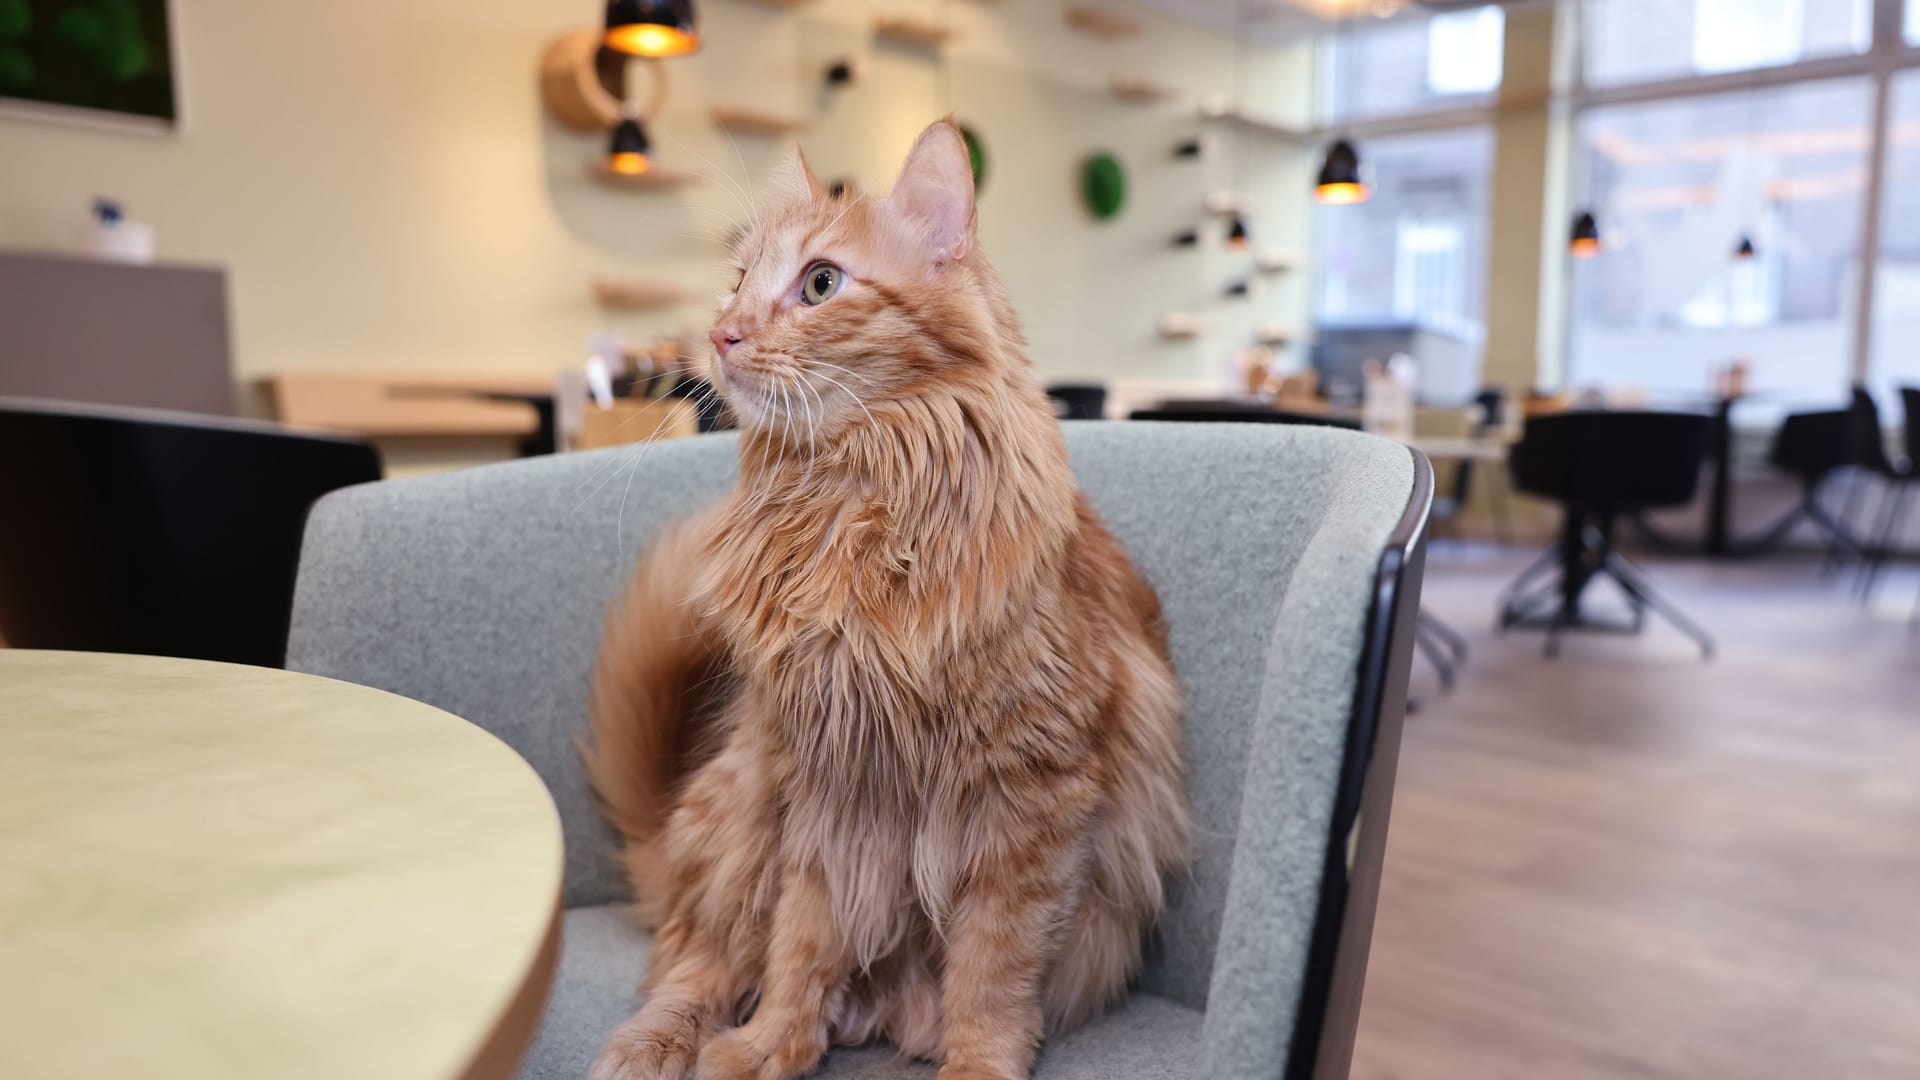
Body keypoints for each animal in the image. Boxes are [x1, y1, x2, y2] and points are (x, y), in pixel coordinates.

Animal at [583, 117, 1182, 1076]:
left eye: (821, 283)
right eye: (739, 282)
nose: (722, 333)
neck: (850, 505)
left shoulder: (1032, 799)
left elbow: (990, 973)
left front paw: (976, 1065)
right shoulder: (825, 792)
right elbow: (802, 944)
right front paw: (770, 1046)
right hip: (740, 814)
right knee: (694, 965)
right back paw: (661, 1044)